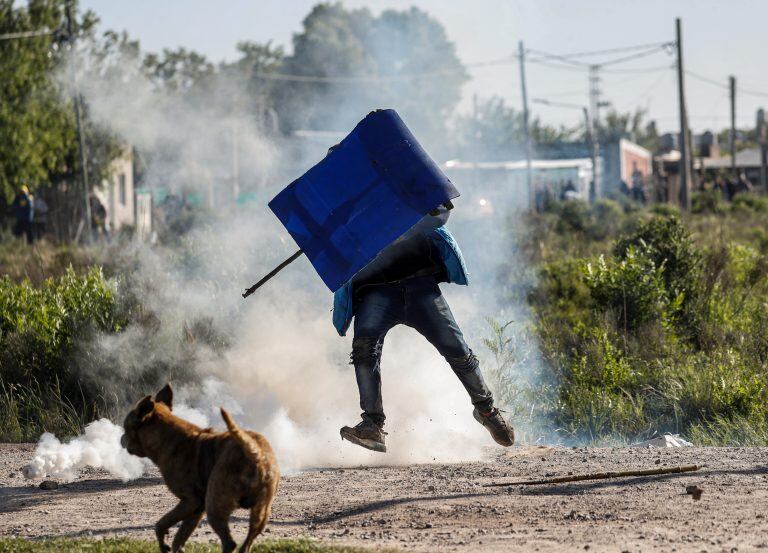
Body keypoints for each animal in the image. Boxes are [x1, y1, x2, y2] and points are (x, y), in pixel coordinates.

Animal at [118, 384, 278, 552]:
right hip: (260, 512)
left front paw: (163, 544)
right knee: (246, 543)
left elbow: (161, 524)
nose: (121, 438)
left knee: (229, 542)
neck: (168, 437)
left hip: (214, 505)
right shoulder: (196, 509)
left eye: (126, 428)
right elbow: (179, 537)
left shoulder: (190, 501)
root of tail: (254, 451)